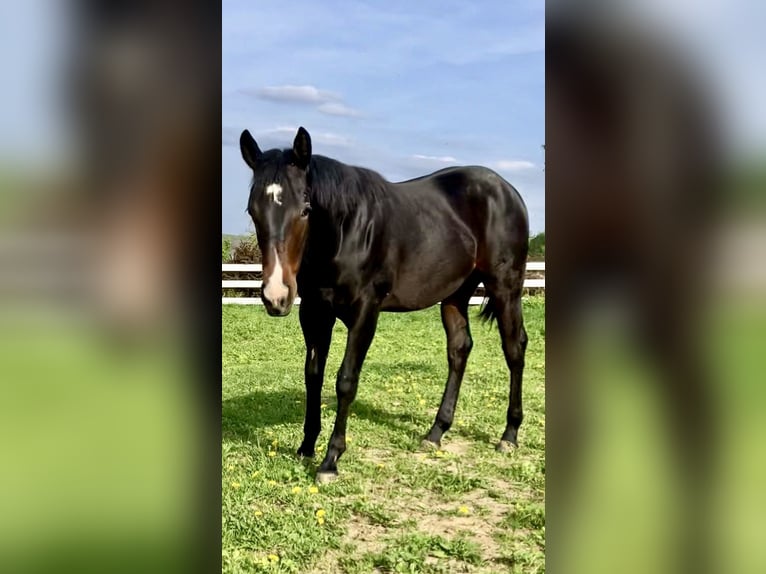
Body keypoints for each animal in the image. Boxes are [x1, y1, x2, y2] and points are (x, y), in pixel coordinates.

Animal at [242, 127, 536, 486]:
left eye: (305, 209)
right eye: (253, 211)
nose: (276, 295)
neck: (347, 230)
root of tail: (507, 191)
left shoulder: (364, 313)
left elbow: (346, 380)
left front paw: (330, 460)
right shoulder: (314, 312)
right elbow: (313, 376)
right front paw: (306, 446)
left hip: (505, 287)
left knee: (514, 349)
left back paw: (509, 435)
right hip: (455, 294)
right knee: (459, 349)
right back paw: (435, 433)